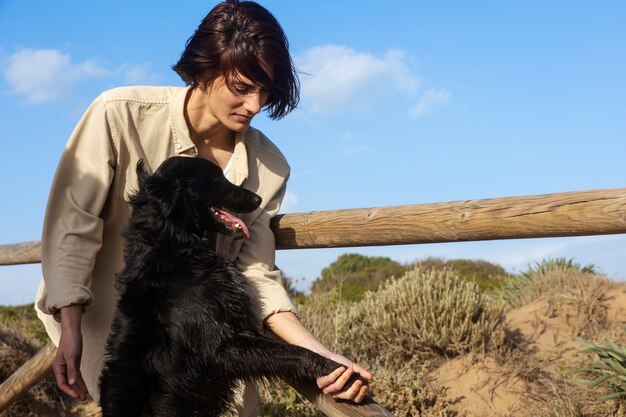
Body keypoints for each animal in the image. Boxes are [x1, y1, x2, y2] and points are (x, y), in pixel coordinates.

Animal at [98, 157, 360, 416]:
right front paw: (335, 367)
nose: (259, 200)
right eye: (217, 179)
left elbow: (283, 347)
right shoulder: (219, 347)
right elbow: (292, 352)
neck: (172, 246)